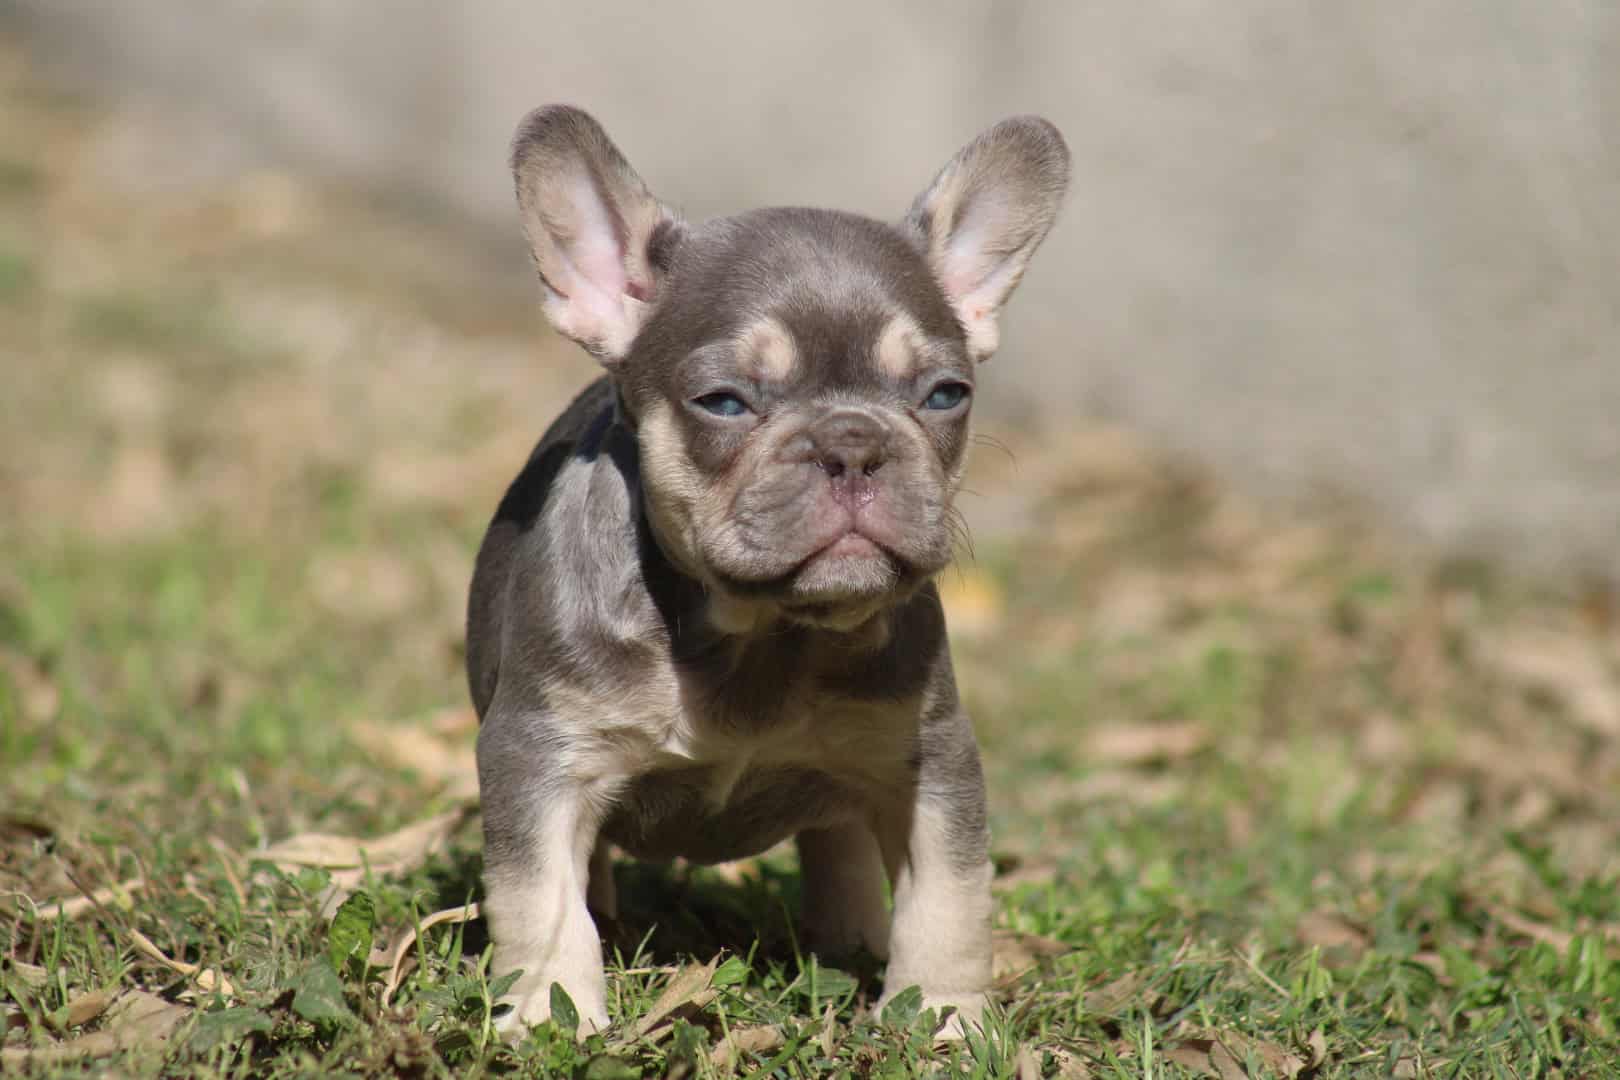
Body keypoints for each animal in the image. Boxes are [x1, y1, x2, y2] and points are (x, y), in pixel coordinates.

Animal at [466, 103, 1062, 1036]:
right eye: (723, 402)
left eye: (945, 395)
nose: (852, 444)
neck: (763, 632)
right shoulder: (537, 757)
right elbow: (542, 903)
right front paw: (550, 1017)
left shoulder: (931, 761)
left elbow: (950, 900)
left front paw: (945, 1021)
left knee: (839, 841)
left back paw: (851, 941)